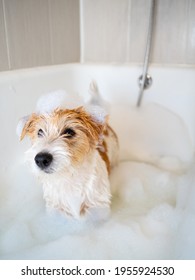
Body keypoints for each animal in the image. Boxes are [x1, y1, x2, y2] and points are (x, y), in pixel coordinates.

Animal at [18, 83, 118, 219]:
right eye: (40, 132)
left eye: (69, 132)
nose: (41, 159)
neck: (69, 178)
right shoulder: (55, 208)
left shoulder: (98, 207)